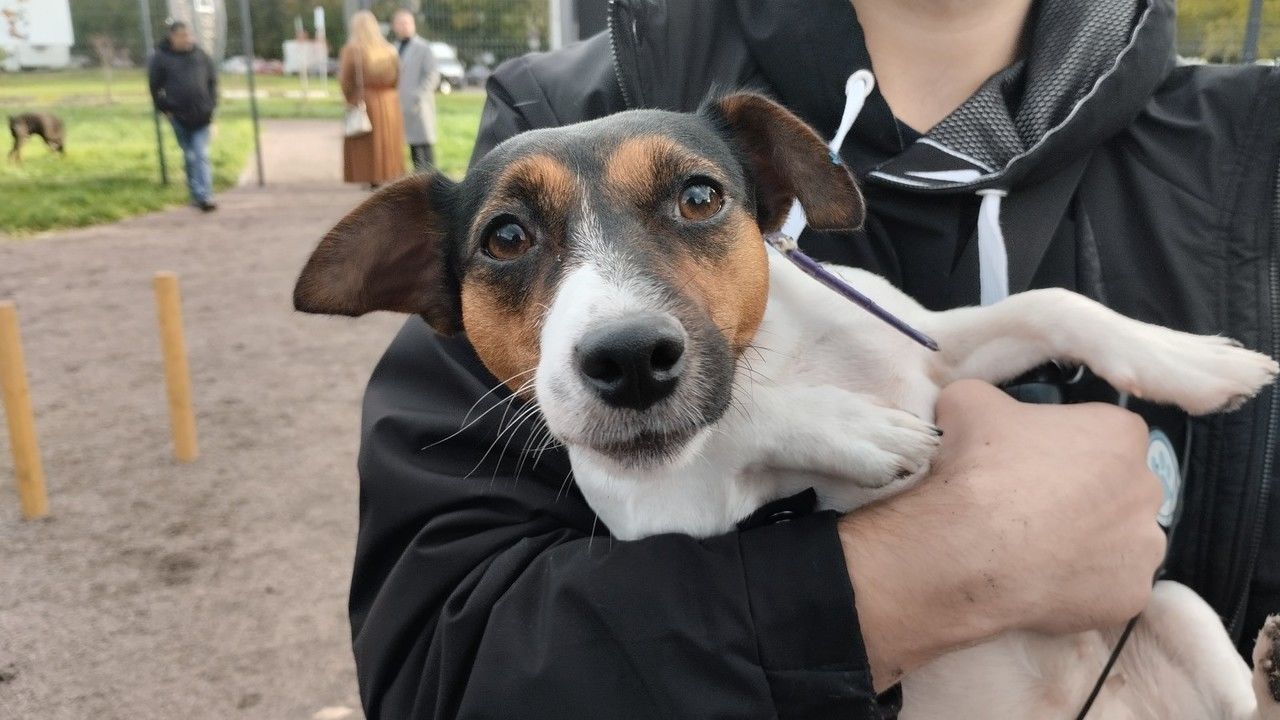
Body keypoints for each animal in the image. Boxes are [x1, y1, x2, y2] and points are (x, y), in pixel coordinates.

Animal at [294, 92, 1280, 712]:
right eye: (505, 238)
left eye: (700, 196)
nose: (628, 360)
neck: (778, 357)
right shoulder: (652, 502)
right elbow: (738, 422)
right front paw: (857, 430)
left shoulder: (940, 351)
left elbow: (1055, 303)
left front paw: (1191, 361)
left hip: (1175, 608)